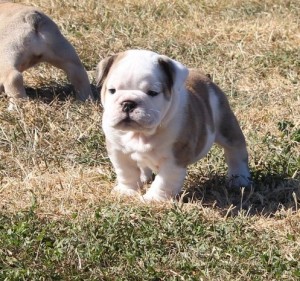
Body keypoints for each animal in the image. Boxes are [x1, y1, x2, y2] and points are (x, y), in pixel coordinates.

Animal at [96, 49, 251, 200]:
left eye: (152, 92)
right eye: (112, 90)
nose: (128, 103)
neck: (140, 134)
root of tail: (202, 75)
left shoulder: (174, 158)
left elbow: (164, 181)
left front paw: (154, 199)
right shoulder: (118, 151)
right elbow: (126, 172)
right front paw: (126, 191)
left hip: (226, 126)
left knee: (235, 151)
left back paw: (239, 179)